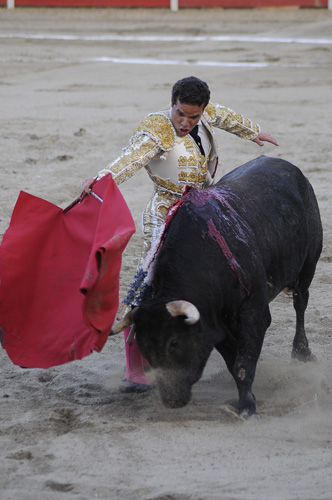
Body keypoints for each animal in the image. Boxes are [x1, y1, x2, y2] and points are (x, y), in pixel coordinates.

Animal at [113, 156, 322, 418]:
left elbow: (243, 362)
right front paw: (245, 399)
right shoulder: (214, 323)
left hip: (309, 264)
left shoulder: (254, 312)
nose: (171, 400)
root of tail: (286, 166)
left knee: (300, 303)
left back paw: (301, 352)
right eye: (143, 346)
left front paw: (247, 407)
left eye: (174, 342)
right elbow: (234, 361)